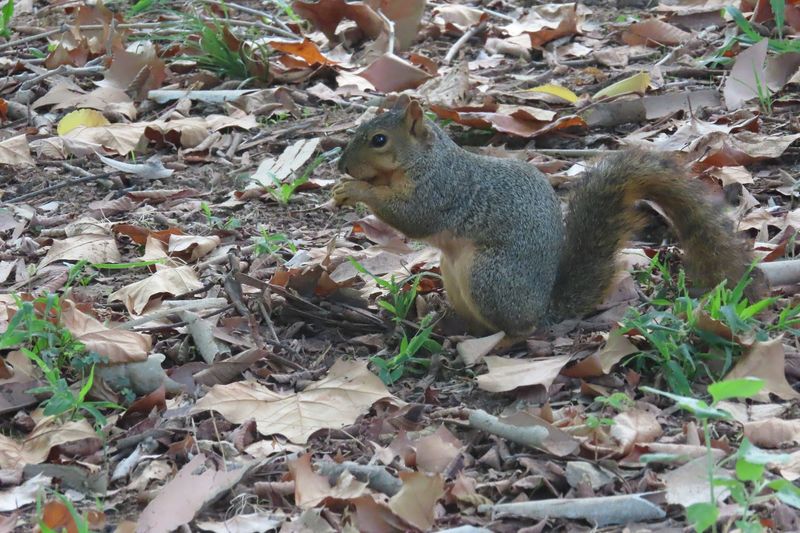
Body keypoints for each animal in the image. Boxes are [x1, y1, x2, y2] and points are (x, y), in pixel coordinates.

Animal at [333, 95, 755, 339]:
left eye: (379, 140)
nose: (343, 166)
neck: (423, 160)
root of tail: (543, 309)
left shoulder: (441, 188)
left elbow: (413, 217)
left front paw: (355, 191)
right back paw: (445, 324)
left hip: (490, 277)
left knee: (518, 329)